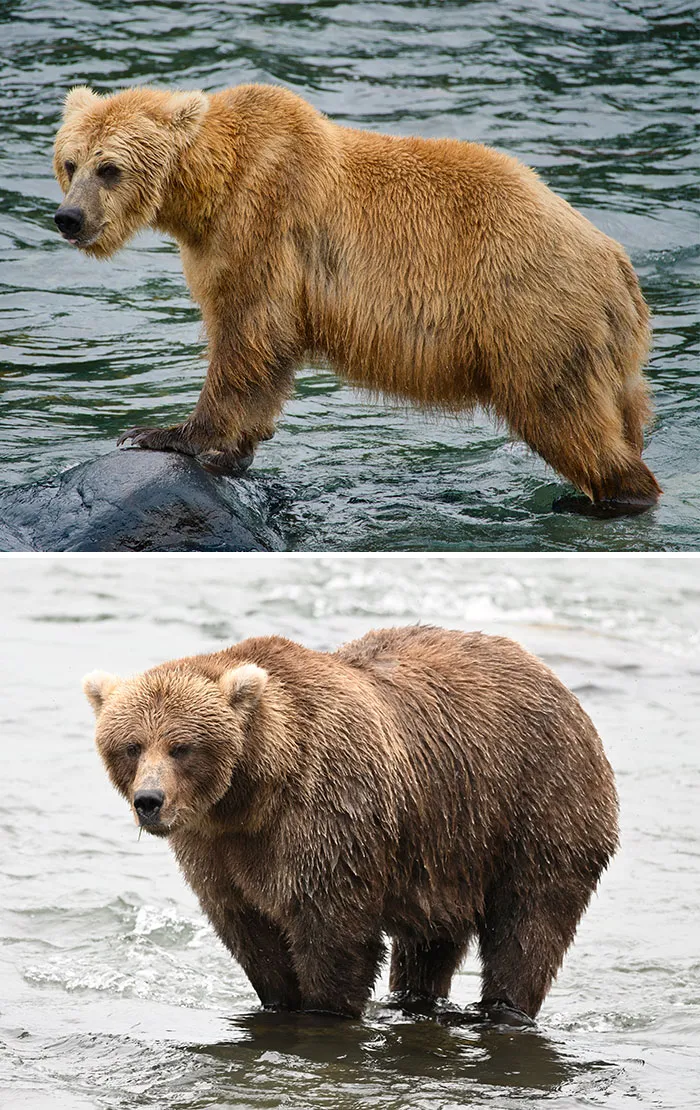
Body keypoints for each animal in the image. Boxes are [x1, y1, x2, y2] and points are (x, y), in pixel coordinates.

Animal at [53, 84, 661, 518]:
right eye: (69, 162)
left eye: (110, 168)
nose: (69, 218)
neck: (209, 186)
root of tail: (617, 264)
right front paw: (236, 449)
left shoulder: (263, 226)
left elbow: (249, 335)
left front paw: (165, 434)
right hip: (601, 345)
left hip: (532, 314)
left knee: (563, 414)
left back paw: (607, 497)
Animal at [84, 625, 618, 1021]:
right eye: (131, 745)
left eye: (182, 746)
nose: (149, 801)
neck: (252, 794)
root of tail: (558, 682)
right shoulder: (216, 847)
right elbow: (250, 931)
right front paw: (278, 1000)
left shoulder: (328, 812)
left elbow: (334, 933)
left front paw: (324, 1009)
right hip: (448, 843)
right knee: (430, 940)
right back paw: (413, 1001)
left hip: (537, 804)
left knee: (529, 922)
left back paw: (503, 1008)